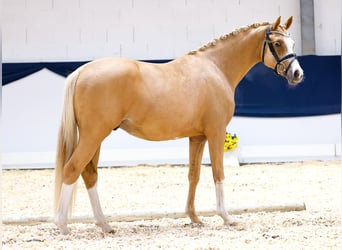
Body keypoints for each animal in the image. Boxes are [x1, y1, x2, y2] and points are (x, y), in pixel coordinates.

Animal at [54, 16, 304, 234]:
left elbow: (194, 175)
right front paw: (226, 217)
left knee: (89, 174)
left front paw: (194, 217)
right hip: (94, 135)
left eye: (292, 42)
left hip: (96, 137)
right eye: (277, 43)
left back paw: (104, 224)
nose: (297, 74)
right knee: (72, 169)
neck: (216, 67)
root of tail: (82, 70)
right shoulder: (216, 132)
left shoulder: (197, 136)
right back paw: (63, 225)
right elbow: (218, 173)